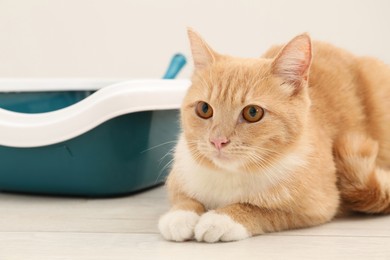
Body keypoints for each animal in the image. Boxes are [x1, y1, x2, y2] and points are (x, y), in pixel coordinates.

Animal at [158, 28, 390, 242]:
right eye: (204, 109)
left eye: (252, 112)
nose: (217, 141)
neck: (230, 175)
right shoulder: (178, 178)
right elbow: (183, 198)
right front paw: (180, 215)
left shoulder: (318, 207)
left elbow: (261, 210)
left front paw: (223, 218)